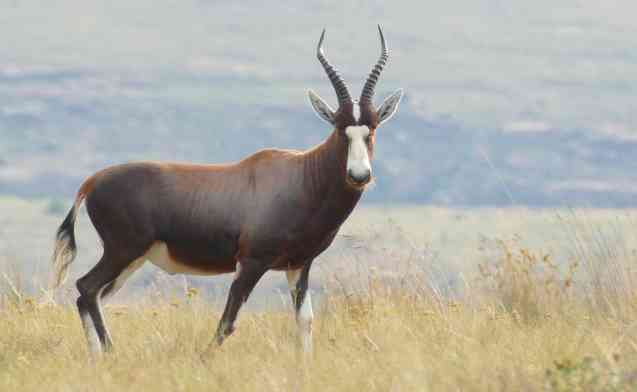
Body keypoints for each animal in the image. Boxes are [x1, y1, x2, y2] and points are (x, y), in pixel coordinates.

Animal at [53, 26, 402, 354]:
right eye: (341, 130)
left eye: (371, 130)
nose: (359, 175)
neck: (301, 174)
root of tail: (92, 181)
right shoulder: (250, 262)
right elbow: (227, 322)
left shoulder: (299, 266)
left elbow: (305, 321)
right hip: (123, 251)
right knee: (87, 287)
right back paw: (109, 353)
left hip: (131, 259)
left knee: (89, 295)